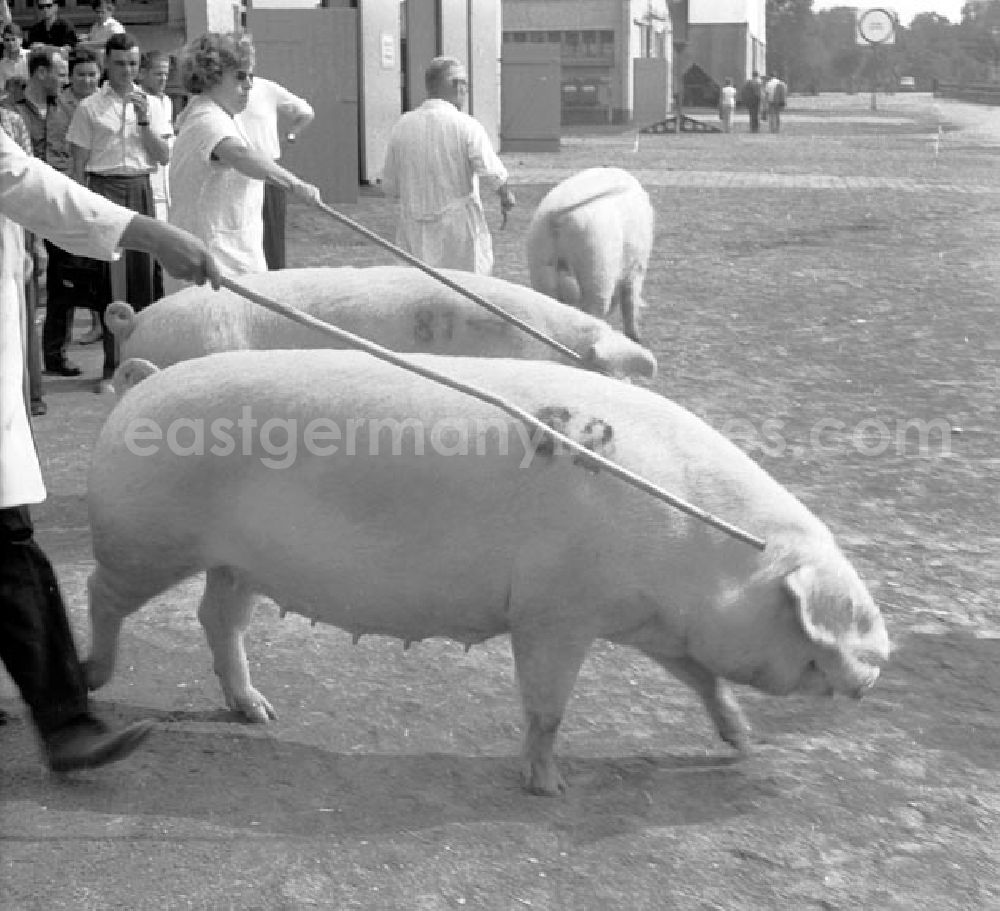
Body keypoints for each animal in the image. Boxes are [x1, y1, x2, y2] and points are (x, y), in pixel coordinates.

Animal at [82, 352, 888, 796]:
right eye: (838, 618)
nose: (882, 664)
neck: (706, 552)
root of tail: (145, 382)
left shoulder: (653, 626)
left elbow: (703, 678)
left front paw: (745, 743)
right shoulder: (553, 613)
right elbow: (547, 705)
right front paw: (551, 789)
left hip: (234, 561)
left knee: (217, 618)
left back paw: (260, 712)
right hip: (144, 537)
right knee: (100, 593)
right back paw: (93, 678)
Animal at [524, 167, 656, 346]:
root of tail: (555, 216)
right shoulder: (637, 266)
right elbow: (630, 300)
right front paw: (637, 339)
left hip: (540, 261)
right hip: (597, 263)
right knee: (594, 310)